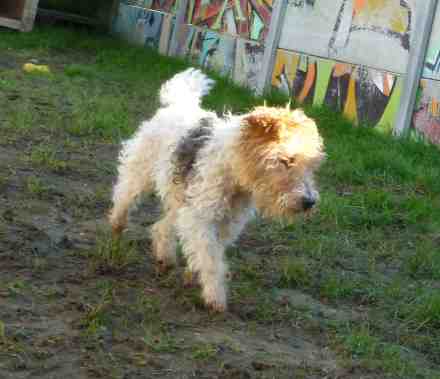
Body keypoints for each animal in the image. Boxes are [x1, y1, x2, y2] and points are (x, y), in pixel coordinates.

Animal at [108, 68, 324, 312]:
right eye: (286, 160)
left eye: (312, 164)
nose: (309, 202)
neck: (233, 170)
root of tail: (178, 104)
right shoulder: (202, 217)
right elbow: (211, 260)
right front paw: (216, 298)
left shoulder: (224, 221)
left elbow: (210, 253)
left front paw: (193, 275)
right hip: (142, 172)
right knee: (124, 195)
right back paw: (117, 225)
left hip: (181, 198)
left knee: (161, 227)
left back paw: (165, 258)